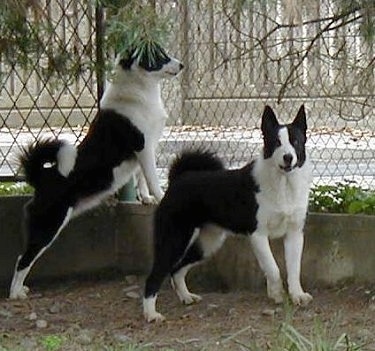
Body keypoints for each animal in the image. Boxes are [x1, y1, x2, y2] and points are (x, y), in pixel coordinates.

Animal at [9, 45, 184, 302]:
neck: (139, 88)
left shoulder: (147, 148)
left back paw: (20, 290)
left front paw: (146, 199)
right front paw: (161, 197)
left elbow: (141, 178)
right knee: (23, 259)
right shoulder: (144, 148)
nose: (181, 65)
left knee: (23, 258)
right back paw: (15, 294)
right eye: (159, 57)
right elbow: (152, 178)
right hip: (49, 225)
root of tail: (41, 177)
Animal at [144, 106, 314, 324]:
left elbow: (293, 269)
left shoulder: (294, 235)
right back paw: (151, 314)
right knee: (155, 276)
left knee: (177, 269)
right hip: (174, 240)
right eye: (276, 142)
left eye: (296, 142)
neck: (283, 184)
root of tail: (177, 180)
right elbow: (273, 268)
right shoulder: (258, 235)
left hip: (208, 243)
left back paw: (186, 297)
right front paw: (276, 294)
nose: (288, 157)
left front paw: (296, 295)